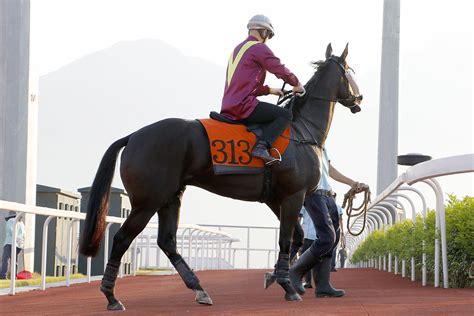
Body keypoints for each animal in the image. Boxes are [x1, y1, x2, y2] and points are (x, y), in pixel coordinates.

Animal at [78, 42, 362, 312]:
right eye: (349, 71)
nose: (359, 98)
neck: (302, 131)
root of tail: (133, 136)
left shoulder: (276, 199)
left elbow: (297, 238)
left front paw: (277, 277)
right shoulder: (294, 195)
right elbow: (286, 239)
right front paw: (288, 286)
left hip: (171, 197)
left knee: (167, 241)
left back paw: (199, 290)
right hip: (147, 202)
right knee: (122, 238)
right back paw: (112, 296)